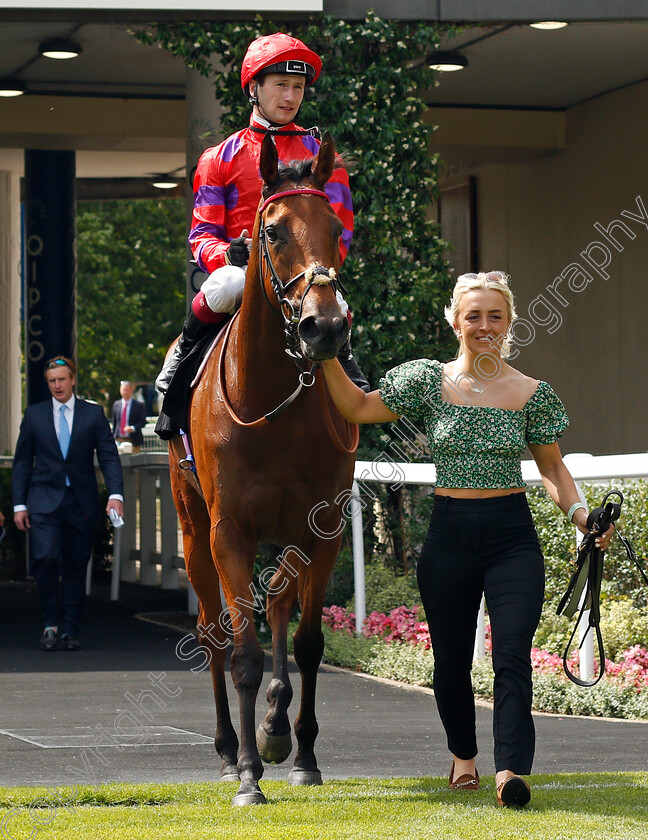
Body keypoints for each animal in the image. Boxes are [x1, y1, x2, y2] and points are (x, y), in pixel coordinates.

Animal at [167, 133, 360, 808]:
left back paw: (276, 726)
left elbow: (307, 641)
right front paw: (249, 775)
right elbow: (243, 653)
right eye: (272, 231)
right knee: (212, 634)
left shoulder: (321, 528)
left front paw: (301, 754)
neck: (277, 401)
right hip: (193, 531)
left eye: (336, 228)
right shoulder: (230, 531)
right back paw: (231, 750)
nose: (324, 326)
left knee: (276, 602)